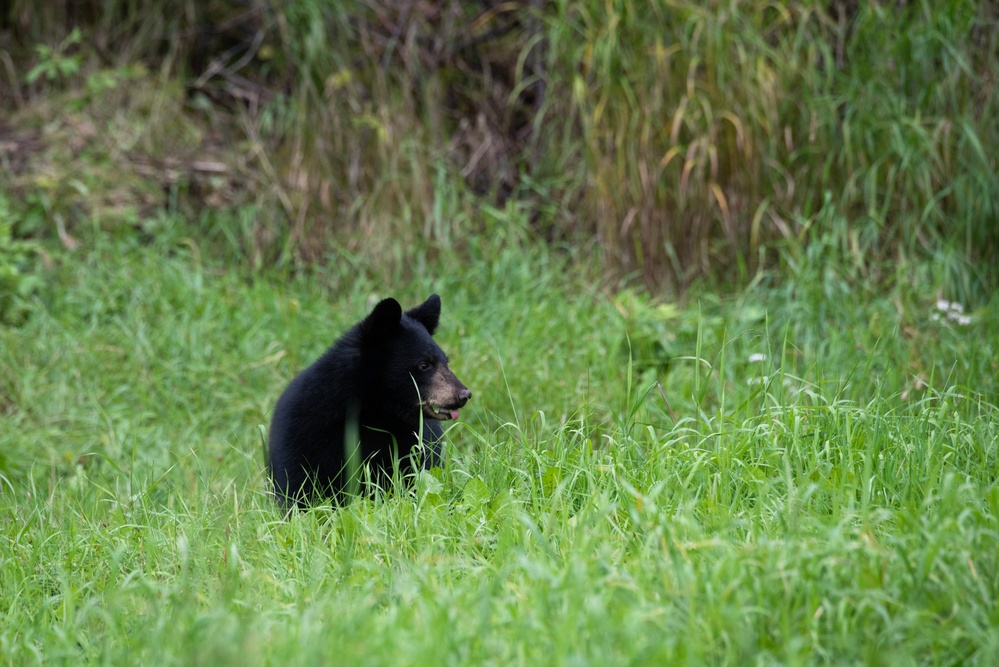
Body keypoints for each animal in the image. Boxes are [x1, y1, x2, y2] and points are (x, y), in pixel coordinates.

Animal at [266, 292, 468, 506]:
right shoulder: (304, 429)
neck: (375, 412)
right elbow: (297, 482)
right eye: (424, 364)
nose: (464, 394)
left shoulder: (413, 440)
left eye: (446, 361)